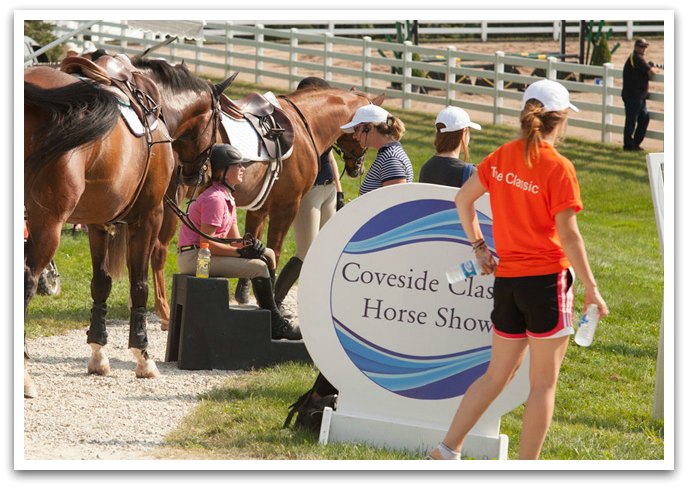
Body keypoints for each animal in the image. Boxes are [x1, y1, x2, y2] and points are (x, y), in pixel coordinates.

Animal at [23, 55, 231, 390]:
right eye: (218, 120)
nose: (201, 174)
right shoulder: (147, 218)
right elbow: (139, 285)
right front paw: (143, 355)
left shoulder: (98, 223)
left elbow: (101, 283)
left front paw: (98, 353)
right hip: (47, 223)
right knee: (28, 280)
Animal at [150, 86, 376, 328]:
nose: (359, 167)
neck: (305, 125)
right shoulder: (287, 206)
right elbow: (274, 252)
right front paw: (274, 304)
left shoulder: (259, 208)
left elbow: (252, 239)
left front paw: (244, 293)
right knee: (159, 250)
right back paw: (164, 310)